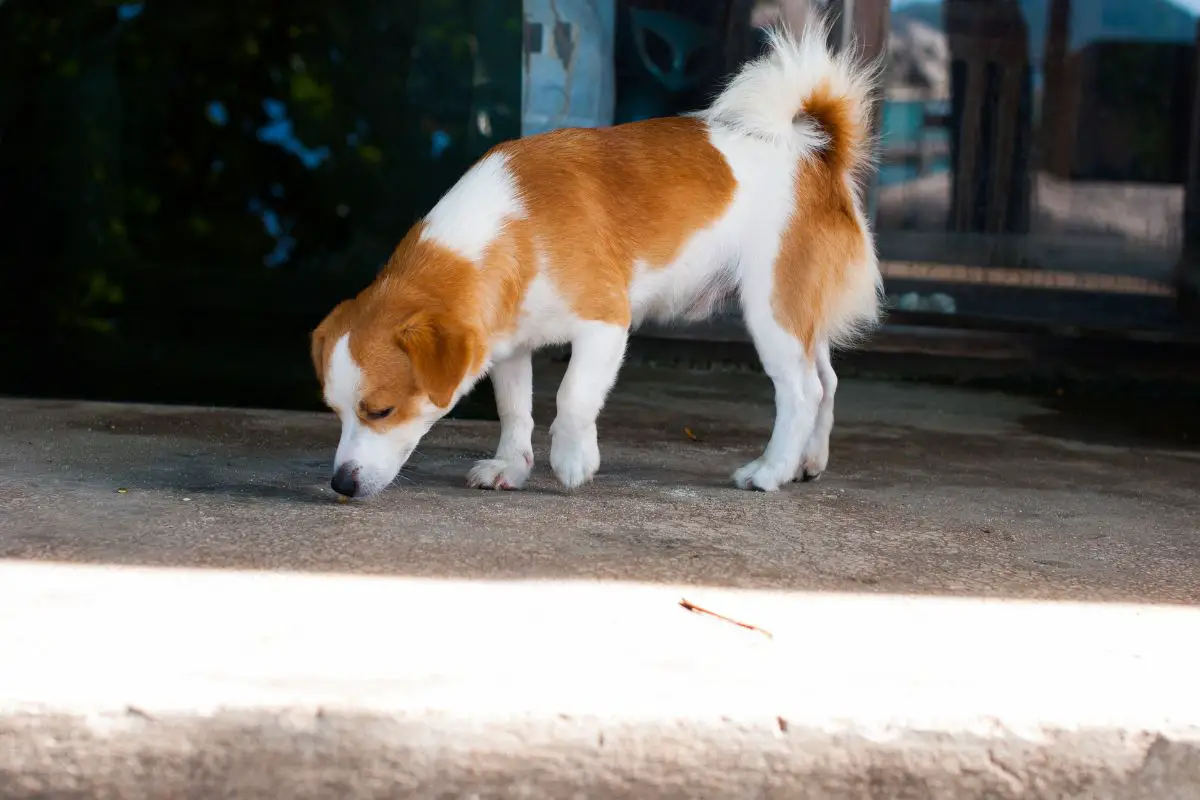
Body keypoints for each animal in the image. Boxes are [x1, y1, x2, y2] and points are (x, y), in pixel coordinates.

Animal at [309, 21, 883, 496]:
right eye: (333, 411)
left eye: (381, 410)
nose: (341, 484)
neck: (515, 226)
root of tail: (818, 155)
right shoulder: (508, 345)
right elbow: (515, 410)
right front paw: (510, 466)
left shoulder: (606, 324)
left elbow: (571, 398)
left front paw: (571, 460)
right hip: (801, 314)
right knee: (827, 381)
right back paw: (807, 462)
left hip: (772, 311)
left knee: (802, 391)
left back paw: (769, 472)